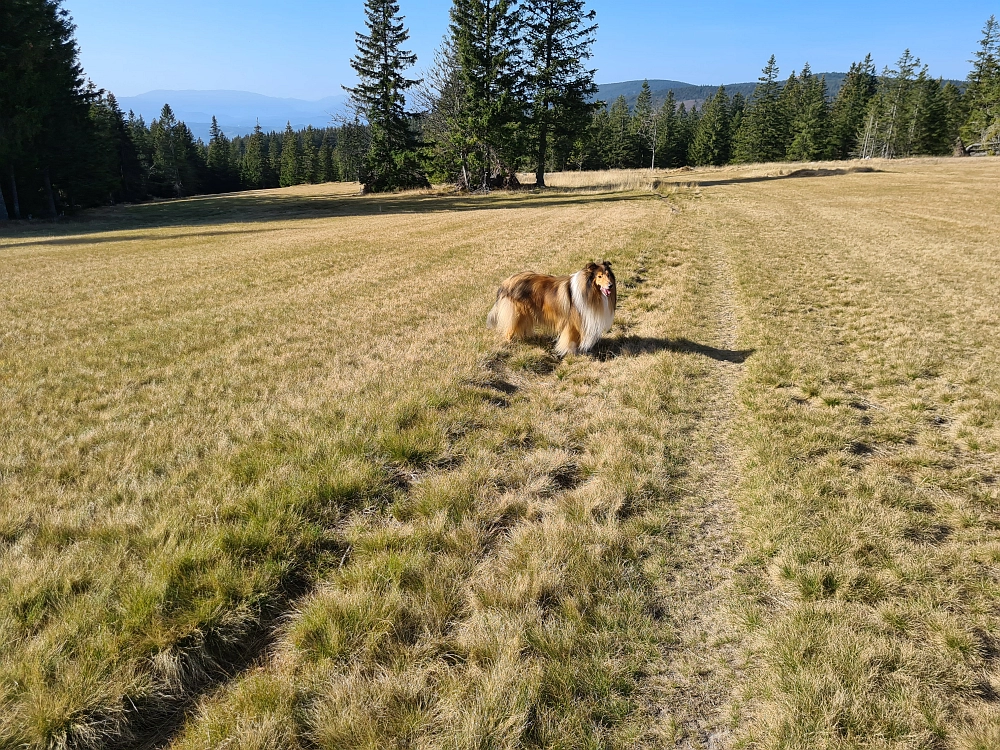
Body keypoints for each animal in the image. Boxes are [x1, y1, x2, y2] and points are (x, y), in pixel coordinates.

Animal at [486, 262, 616, 356]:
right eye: (599, 276)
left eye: (608, 275)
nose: (610, 285)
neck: (588, 290)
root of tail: (506, 282)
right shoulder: (573, 322)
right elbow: (572, 339)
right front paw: (572, 354)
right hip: (516, 313)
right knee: (508, 331)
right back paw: (509, 344)